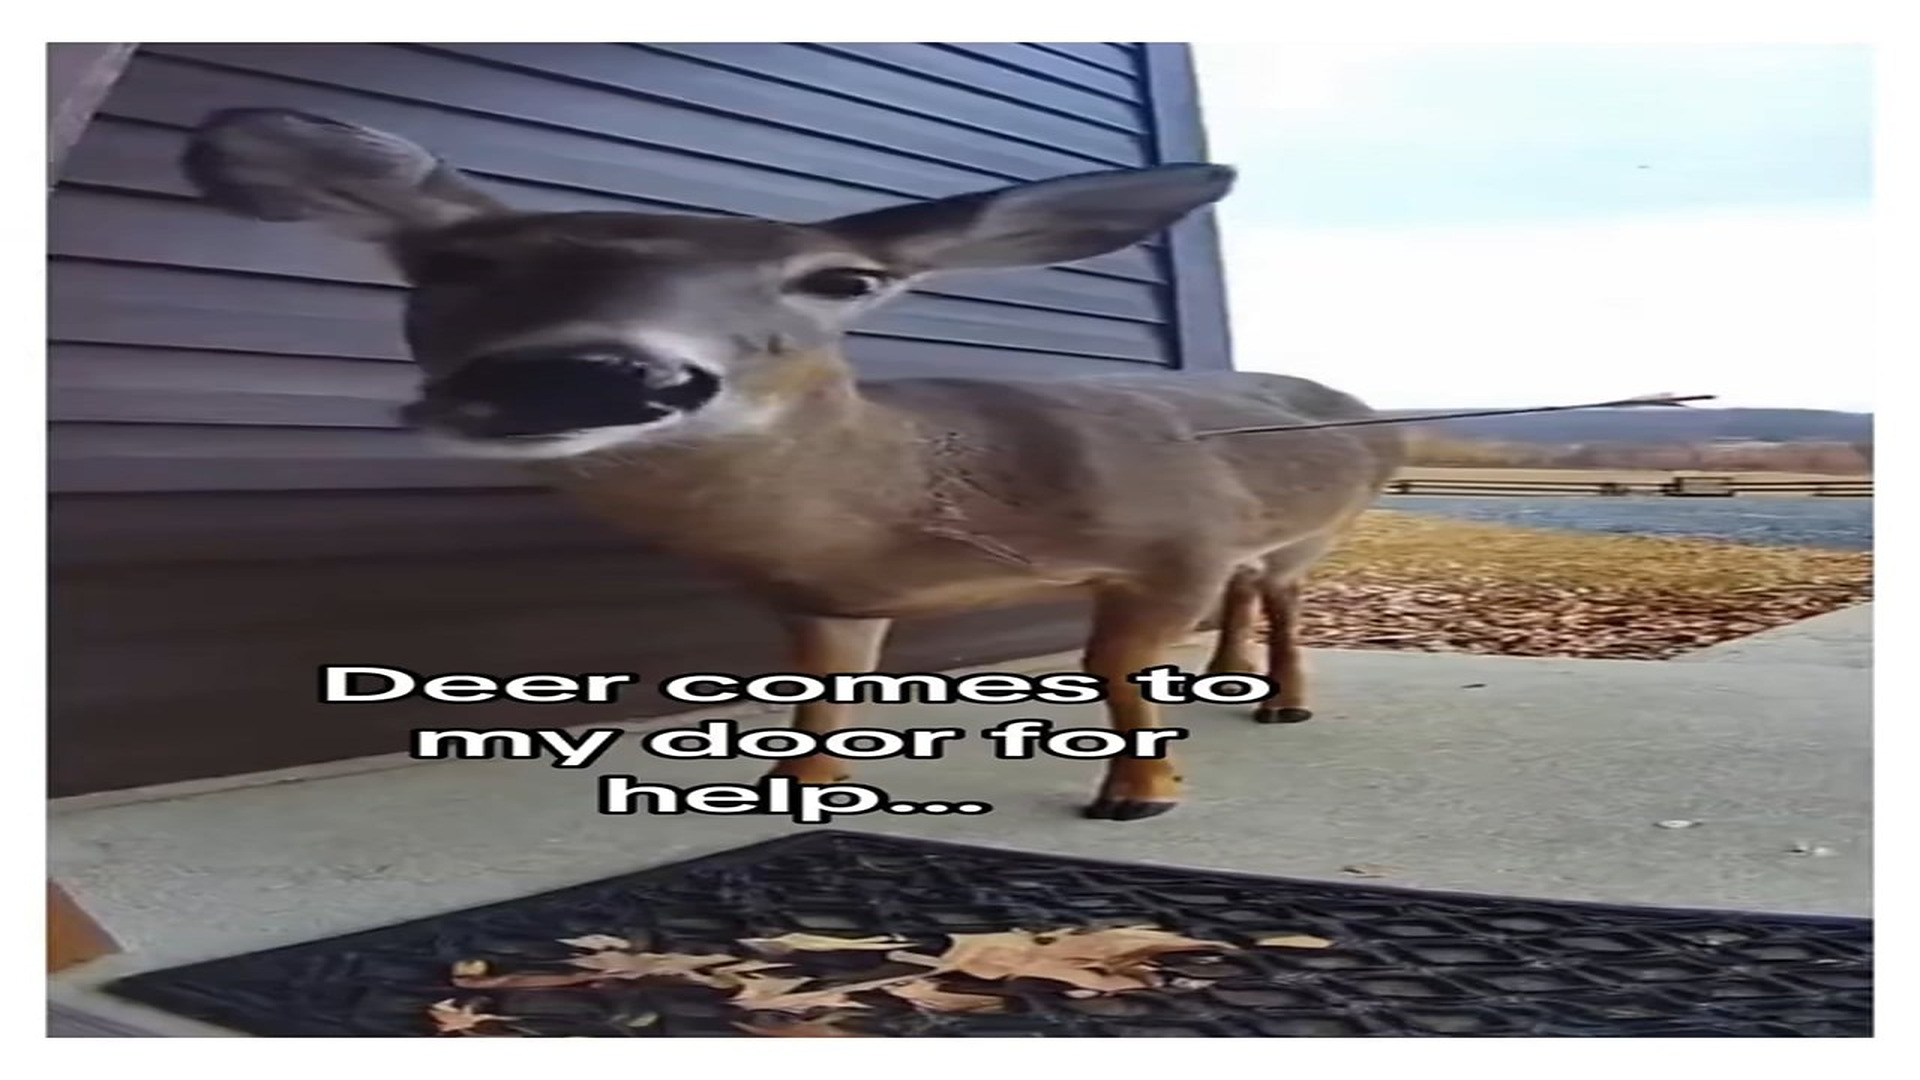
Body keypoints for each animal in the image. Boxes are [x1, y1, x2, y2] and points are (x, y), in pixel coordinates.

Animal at [182, 108, 1404, 822]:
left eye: (843, 280)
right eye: (443, 267)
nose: (579, 371)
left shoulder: (1174, 533)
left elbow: (1113, 667)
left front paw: (1138, 791)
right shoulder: (826, 592)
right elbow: (821, 686)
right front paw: (799, 786)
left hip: (1324, 522)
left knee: (1282, 597)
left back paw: (1282, 706)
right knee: (1254, 594)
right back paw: (1231, 683)